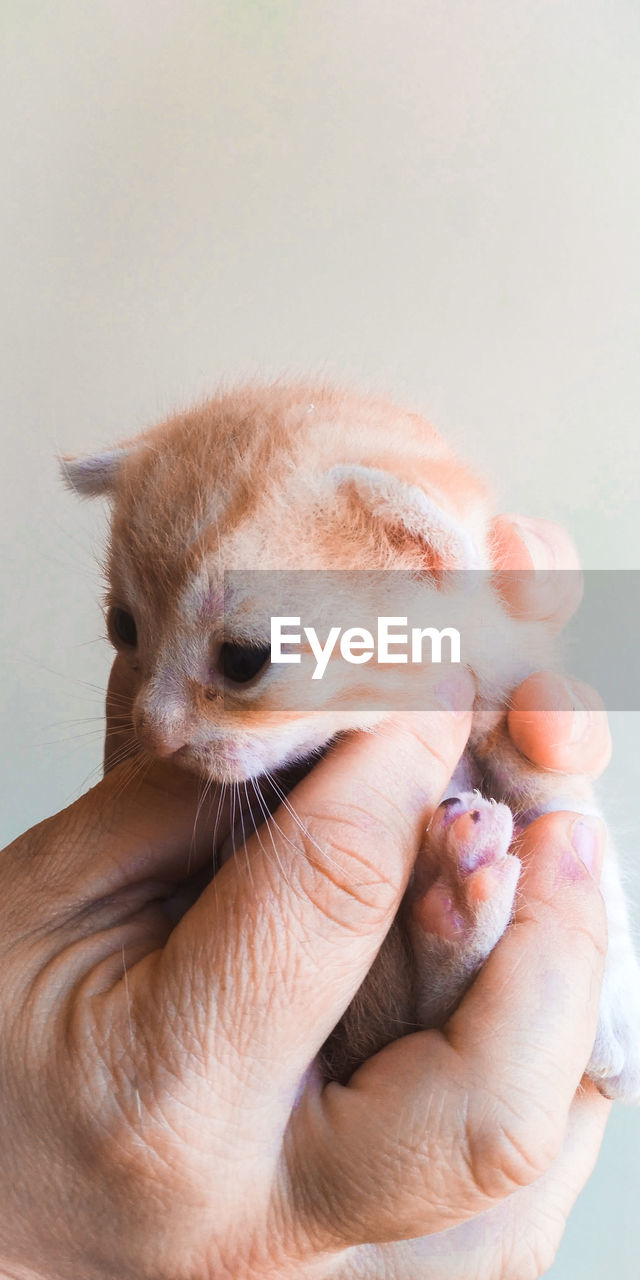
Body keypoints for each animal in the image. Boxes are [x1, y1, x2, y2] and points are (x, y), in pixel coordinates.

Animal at [63, 376, 640, 1090]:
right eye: (123, 627)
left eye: (244, 661)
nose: (154, 731)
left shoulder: (509, 704)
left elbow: (565, 808)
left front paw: (613, 1009)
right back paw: (460, 895)